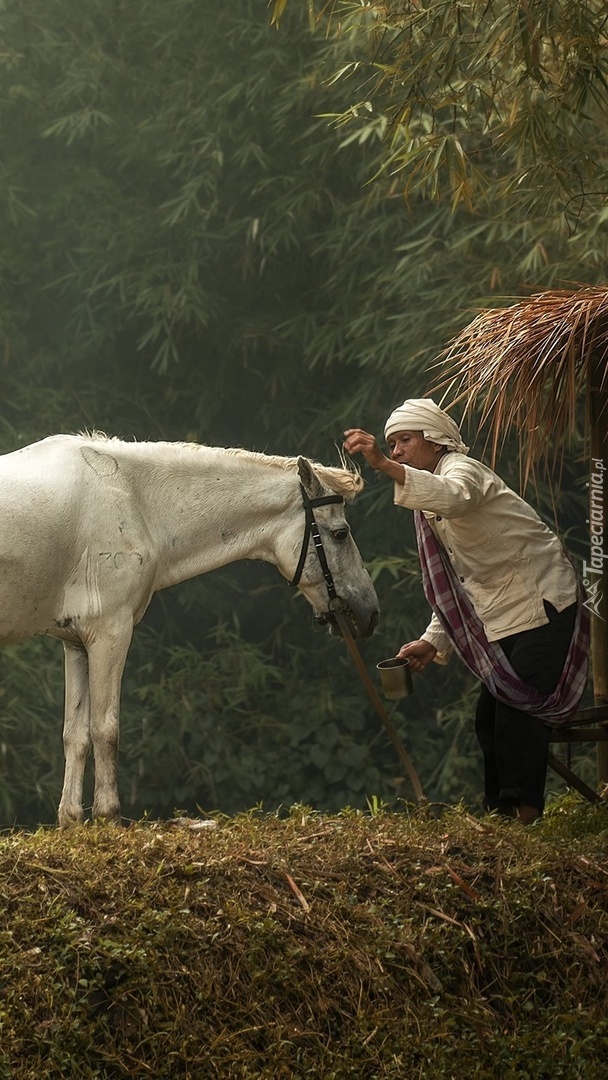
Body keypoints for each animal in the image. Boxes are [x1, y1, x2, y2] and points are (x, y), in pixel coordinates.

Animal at [0, 434, 380, 820]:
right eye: (340, 534)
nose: (369, 613)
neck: (133, 499)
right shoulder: (109, 633)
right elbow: (105, 728)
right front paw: (107, 816)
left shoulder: (76, 642)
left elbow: (75, 734)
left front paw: (72, 819)